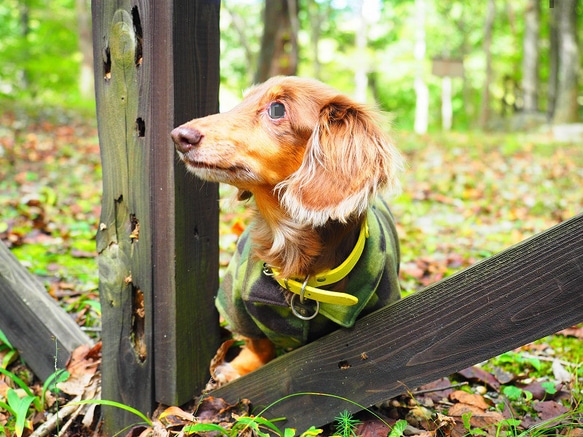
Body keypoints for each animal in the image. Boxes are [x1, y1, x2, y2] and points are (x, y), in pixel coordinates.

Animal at [171, 76, 404, 382]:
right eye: (244, 100)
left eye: (277, 109)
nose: (179, 136)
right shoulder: (236, 303)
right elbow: (257, 342)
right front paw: (240, 368)